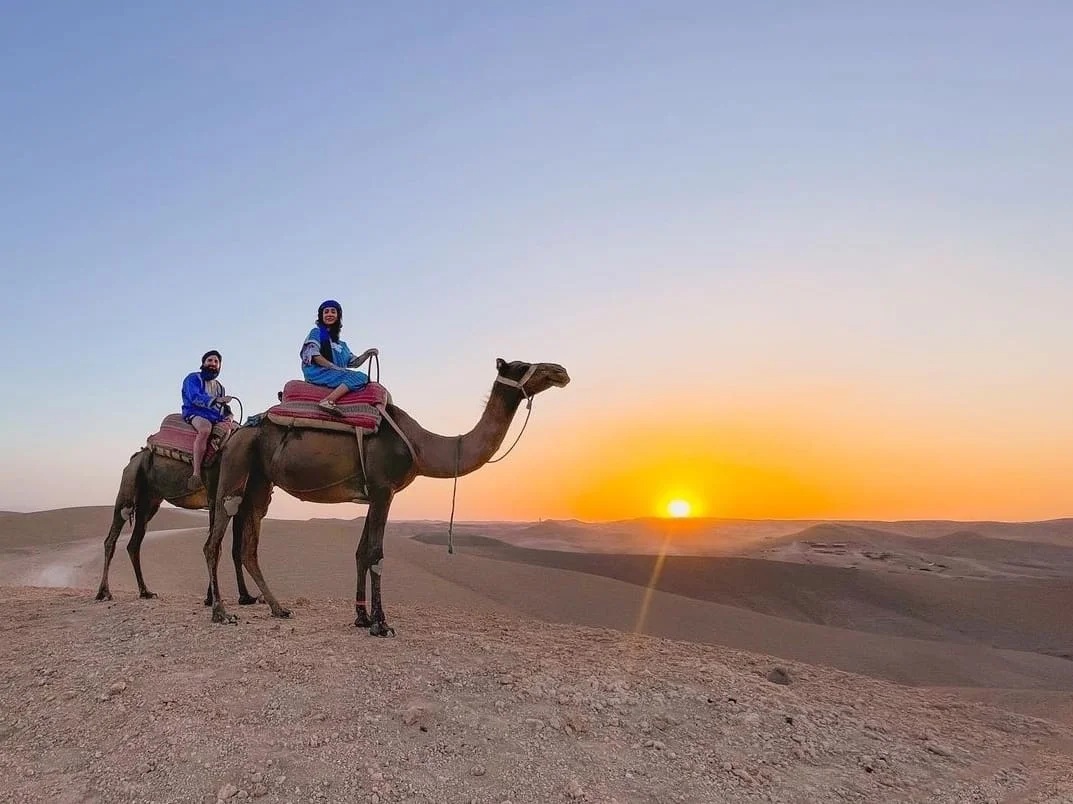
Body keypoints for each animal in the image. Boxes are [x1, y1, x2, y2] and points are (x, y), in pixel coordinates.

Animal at [95, 447, 259, 605]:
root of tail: (134, 458)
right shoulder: (216, 498)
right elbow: (216, 547)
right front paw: (211, 598)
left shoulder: (237, 504)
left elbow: (234, 550)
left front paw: (245, 597)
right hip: (129, 482)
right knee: (112, 537)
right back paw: (103, 593)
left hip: (149, 502)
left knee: (134, 543)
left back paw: (145, 592)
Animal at [203, 358, 570, 633]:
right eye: (522, 365)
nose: (560, 371)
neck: (421, 446)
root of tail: (239, 429)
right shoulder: (384, 489)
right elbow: (377, 554)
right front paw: (382, 624)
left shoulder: (373, 493)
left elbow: (361, 552)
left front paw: (362, 618)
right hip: (237, 463)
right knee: (216, 536)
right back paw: (221, 612)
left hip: (259, 480)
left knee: (249, 544)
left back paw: (278, 608)